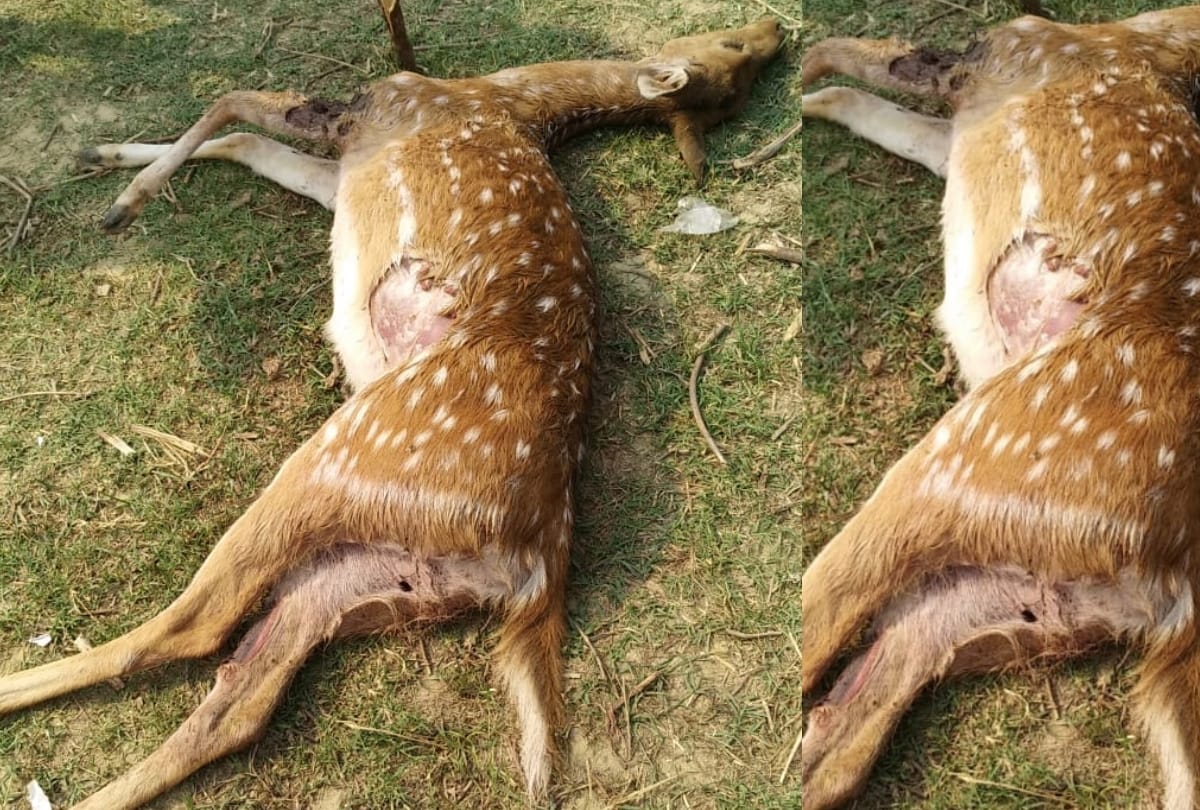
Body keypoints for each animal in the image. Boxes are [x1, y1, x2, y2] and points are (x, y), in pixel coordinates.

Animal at [0, 18, 783, 810]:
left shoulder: (370, 111)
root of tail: (537, 565)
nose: (777, 28)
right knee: (242, 699)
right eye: (734, 52)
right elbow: (248, 142)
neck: (504, 97)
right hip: (377, 576)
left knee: (194, 625)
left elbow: (236, 106)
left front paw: (124, 198)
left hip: (337, 463)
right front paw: (103, 154)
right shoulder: (348, 166)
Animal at [801, 7, 1200, 809]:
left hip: (963, 459)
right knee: (863, 714)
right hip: (1042, 600)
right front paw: (808, 93)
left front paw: (803, 83)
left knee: (824, 605)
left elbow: (881, 63)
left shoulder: (1001, 53)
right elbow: (899, 119)